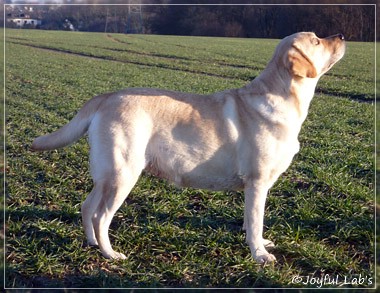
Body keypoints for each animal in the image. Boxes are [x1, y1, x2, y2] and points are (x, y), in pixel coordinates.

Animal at [32, 32, 346, 262]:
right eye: (316, 41)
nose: (342, 35)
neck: (283, 97)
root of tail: (106, 96)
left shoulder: (253, 187)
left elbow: (250, 221)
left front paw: (258, 244)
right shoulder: (257, 182)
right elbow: (257, 222)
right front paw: (260, 255)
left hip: (107, 174)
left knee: (86, 207)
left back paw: (92, 244)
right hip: (123, 176)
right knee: (101, 217)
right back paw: (110, 253)